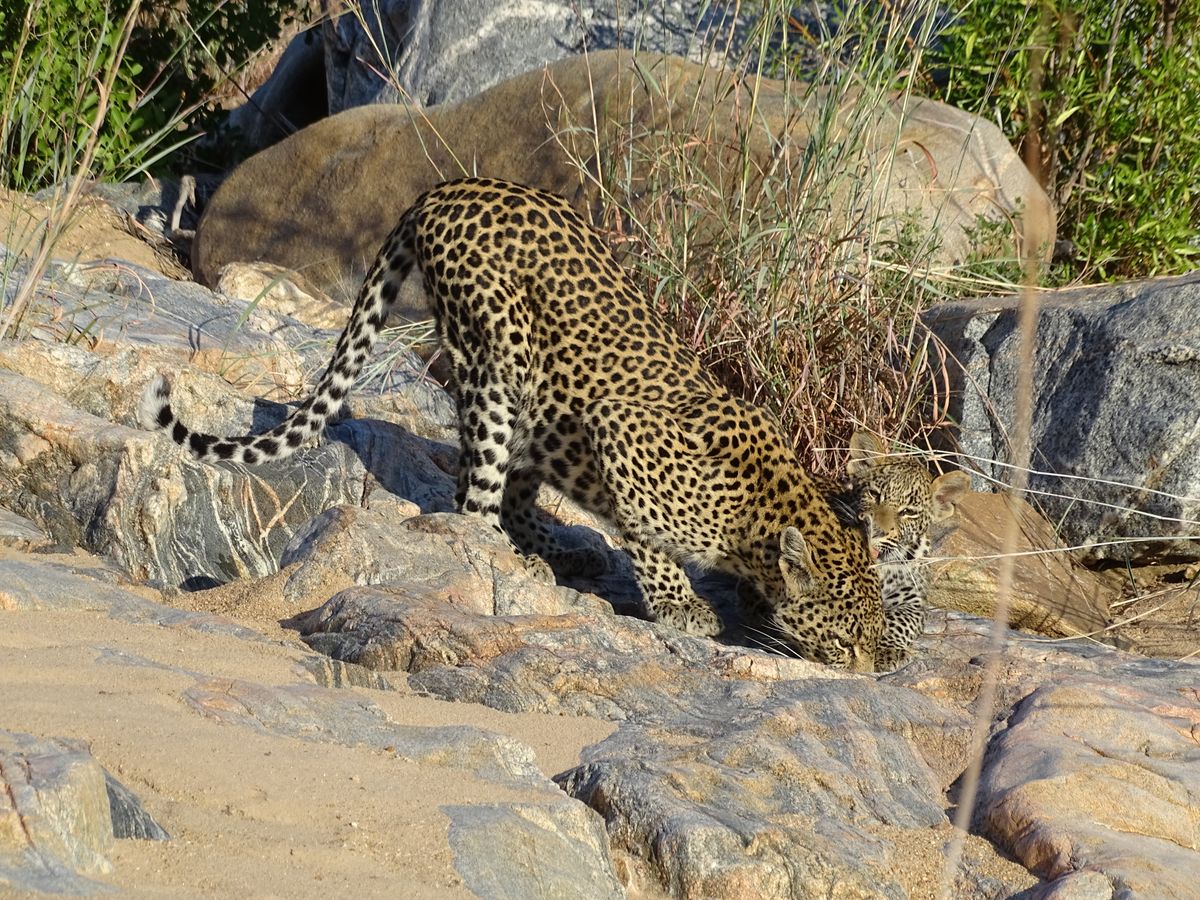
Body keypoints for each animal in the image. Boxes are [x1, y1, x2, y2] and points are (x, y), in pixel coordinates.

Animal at [140, 177, 884, 671]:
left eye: (873, 640)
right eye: (847, 639)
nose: (866, 671)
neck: (758, 522)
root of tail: (445, 189)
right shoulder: (622, 431)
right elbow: (648, 535)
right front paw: (682, 607)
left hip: (534, 395)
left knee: (520, 483)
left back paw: (561, 550)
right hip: (495, 358)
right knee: (473, 492)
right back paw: (502, 553)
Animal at [827, 432, 971, 671]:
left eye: (908, 512)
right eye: (874, 494)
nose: (875, 531)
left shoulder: (912, 601)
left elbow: (898, 622)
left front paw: (887, 651)